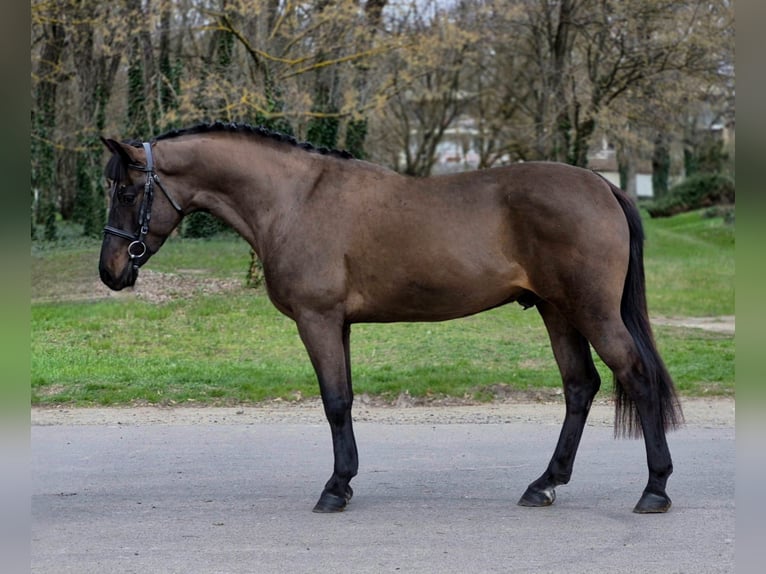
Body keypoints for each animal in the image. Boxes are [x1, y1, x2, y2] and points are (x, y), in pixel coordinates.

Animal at [98, 122, 683, 514]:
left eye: (126, 190)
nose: (110, 272)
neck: (295, 200)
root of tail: (602, 185)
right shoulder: (339, 325)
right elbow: (346, 400)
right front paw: (345, 481)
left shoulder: (317, 320)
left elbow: (335, 402)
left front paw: (334, 490)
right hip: (557, 310)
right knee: (580, 386)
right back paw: (545, 484)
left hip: (590, 310)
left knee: (636, 375)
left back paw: (655, 489)